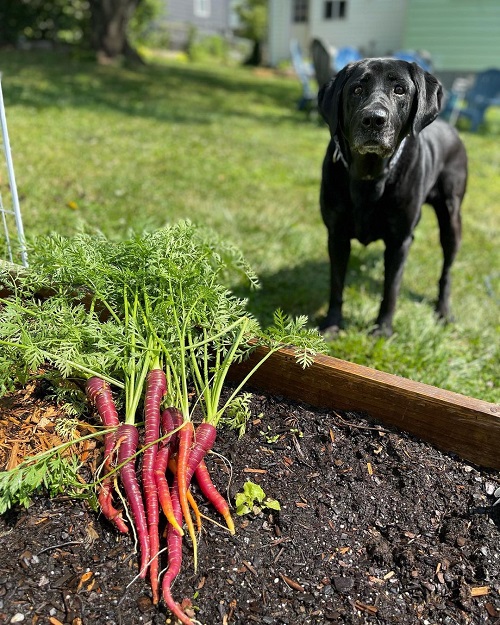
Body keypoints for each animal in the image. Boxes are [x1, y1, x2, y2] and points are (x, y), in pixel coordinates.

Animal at [318, 59, 466, 336]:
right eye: (356, 89)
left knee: (447, 271)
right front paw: (332, 323)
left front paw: (383, 329)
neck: (369, 175)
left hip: (451, 219)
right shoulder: (337, 235)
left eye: (400, 90)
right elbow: (336, 283)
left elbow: (391, 289)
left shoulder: (399, 242)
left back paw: (443, 310)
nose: (374, 120)